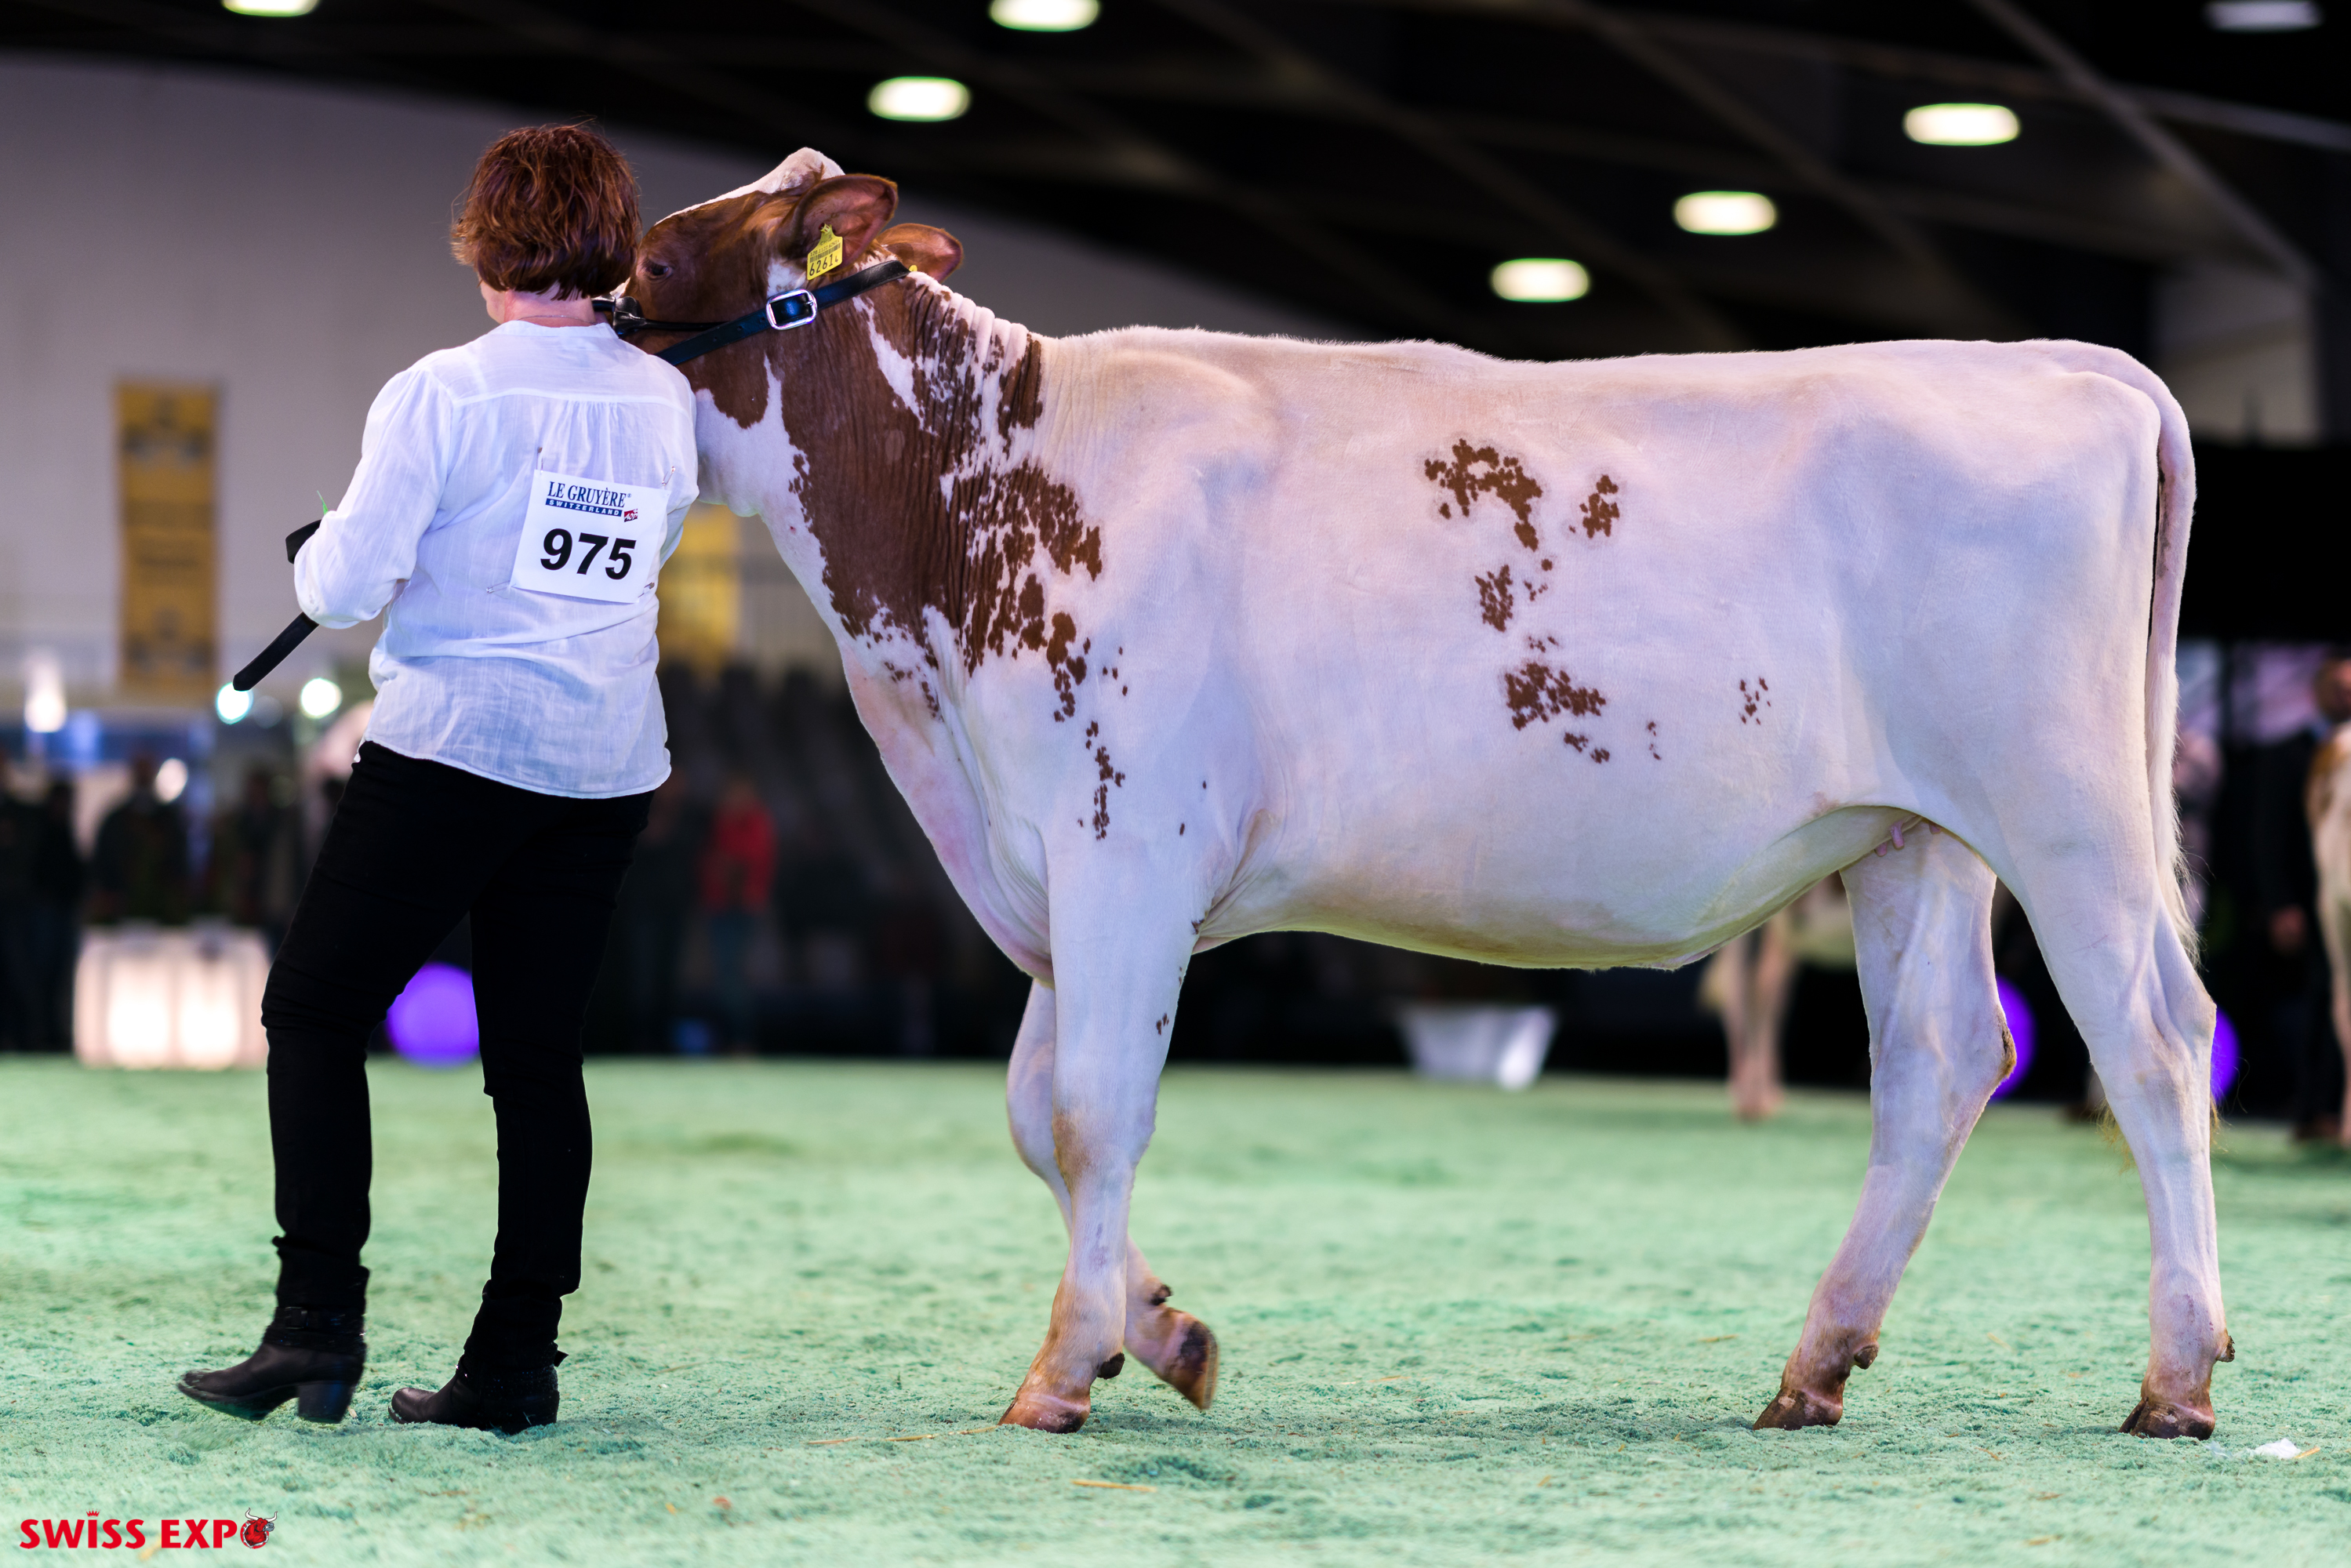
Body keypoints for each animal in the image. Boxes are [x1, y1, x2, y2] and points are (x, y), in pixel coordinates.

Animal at [628, 149, 2226, 1439]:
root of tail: (2050, 361)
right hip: (1913, 834)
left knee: (2150, 1041)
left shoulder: (1123, 840)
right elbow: (1035, 1114)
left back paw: (2173, 1379)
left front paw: (1065, 1372)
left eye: (644, 266)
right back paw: (1814, 1367)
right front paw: (1168, 1333)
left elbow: (1089, 1112)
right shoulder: (1053, 855)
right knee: (1938, 1059)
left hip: (2063, 810)